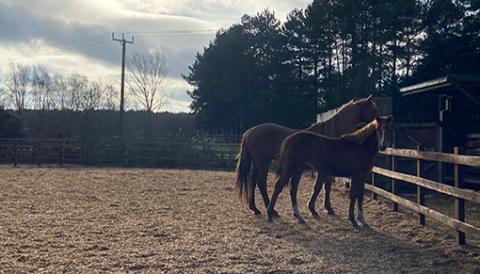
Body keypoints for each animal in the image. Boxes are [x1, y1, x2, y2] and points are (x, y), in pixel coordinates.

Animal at [235, 95, 378, 217]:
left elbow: (323, 187)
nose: (380, 121)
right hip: (263, 163)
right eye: (373, 109)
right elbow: (321, 187)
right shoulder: (324, 170)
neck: (330, 135)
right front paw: (320, 208)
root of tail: (250, 131)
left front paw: (321, 208)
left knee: (253, 182)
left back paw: (255, 208)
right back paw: (271, 209)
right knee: (261, 183)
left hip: (256, 163)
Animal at [266, 115, 394, 227]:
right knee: (279, 186)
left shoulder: (362, 177)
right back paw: (270, 214)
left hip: (298, 169)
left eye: (388, 129)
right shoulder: (356, 176)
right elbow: (353, 196)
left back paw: (299, 216)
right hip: (290, 168)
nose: (383, 146)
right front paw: (353, 220)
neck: (360, 146)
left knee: (293, 189)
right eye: (378, 129)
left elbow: (360, 196)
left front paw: (362, 221)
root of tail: (288, 139)